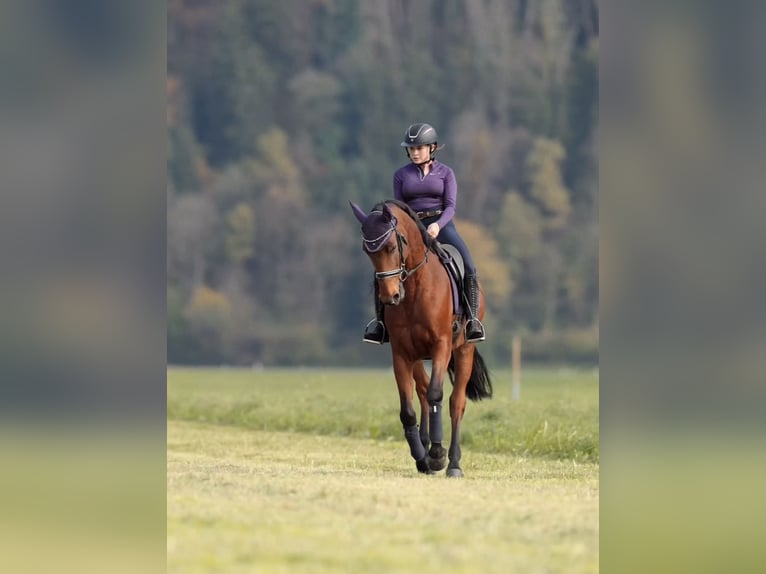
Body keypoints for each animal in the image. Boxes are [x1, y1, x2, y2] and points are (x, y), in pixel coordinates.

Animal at [350, 199, 493, 477]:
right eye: (368, 251)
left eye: (393, 245)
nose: (390, 297)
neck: (415, 287)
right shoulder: (401, 353)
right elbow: (408, 409)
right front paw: (422, 456)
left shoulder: (441, 346)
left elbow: (438, 394)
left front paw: (437, 455)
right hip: (417, 357)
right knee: (423, 392)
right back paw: (425, 452)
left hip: (463, 351)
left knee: (455, 402)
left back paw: (453, 463)